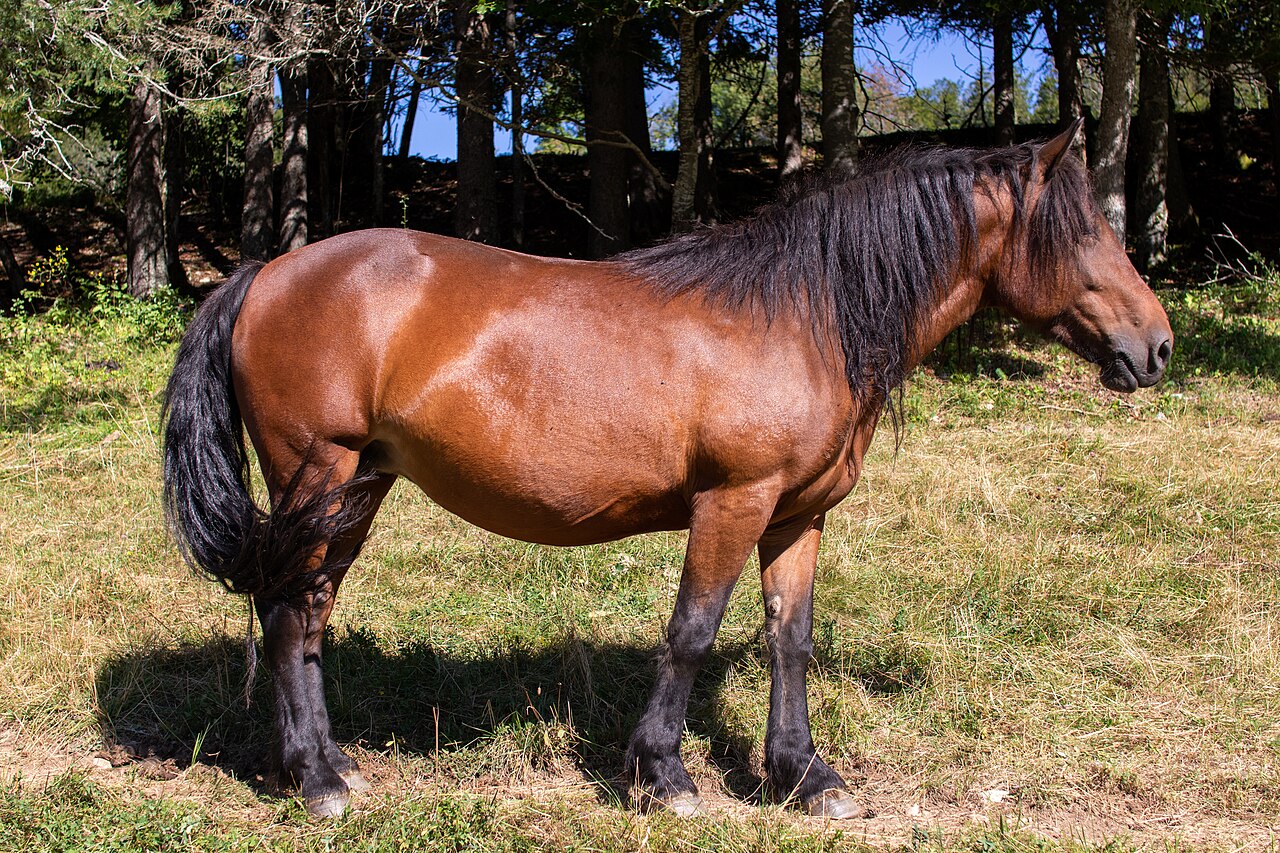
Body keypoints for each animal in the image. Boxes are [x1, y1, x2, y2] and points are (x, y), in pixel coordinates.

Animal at [162, 120, 1171, 820]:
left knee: (309, 615)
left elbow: (789, 639)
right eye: (1086, 234)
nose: (1157, 347)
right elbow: (691, 632)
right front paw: (665, 774)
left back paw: (330, 765)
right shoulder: (733, 502)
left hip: (356, 488)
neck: (804, 314)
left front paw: (805, 775)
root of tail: (267, 273)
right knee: (290, 612)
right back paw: (315, 783)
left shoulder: (797, 516)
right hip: (319, 475)